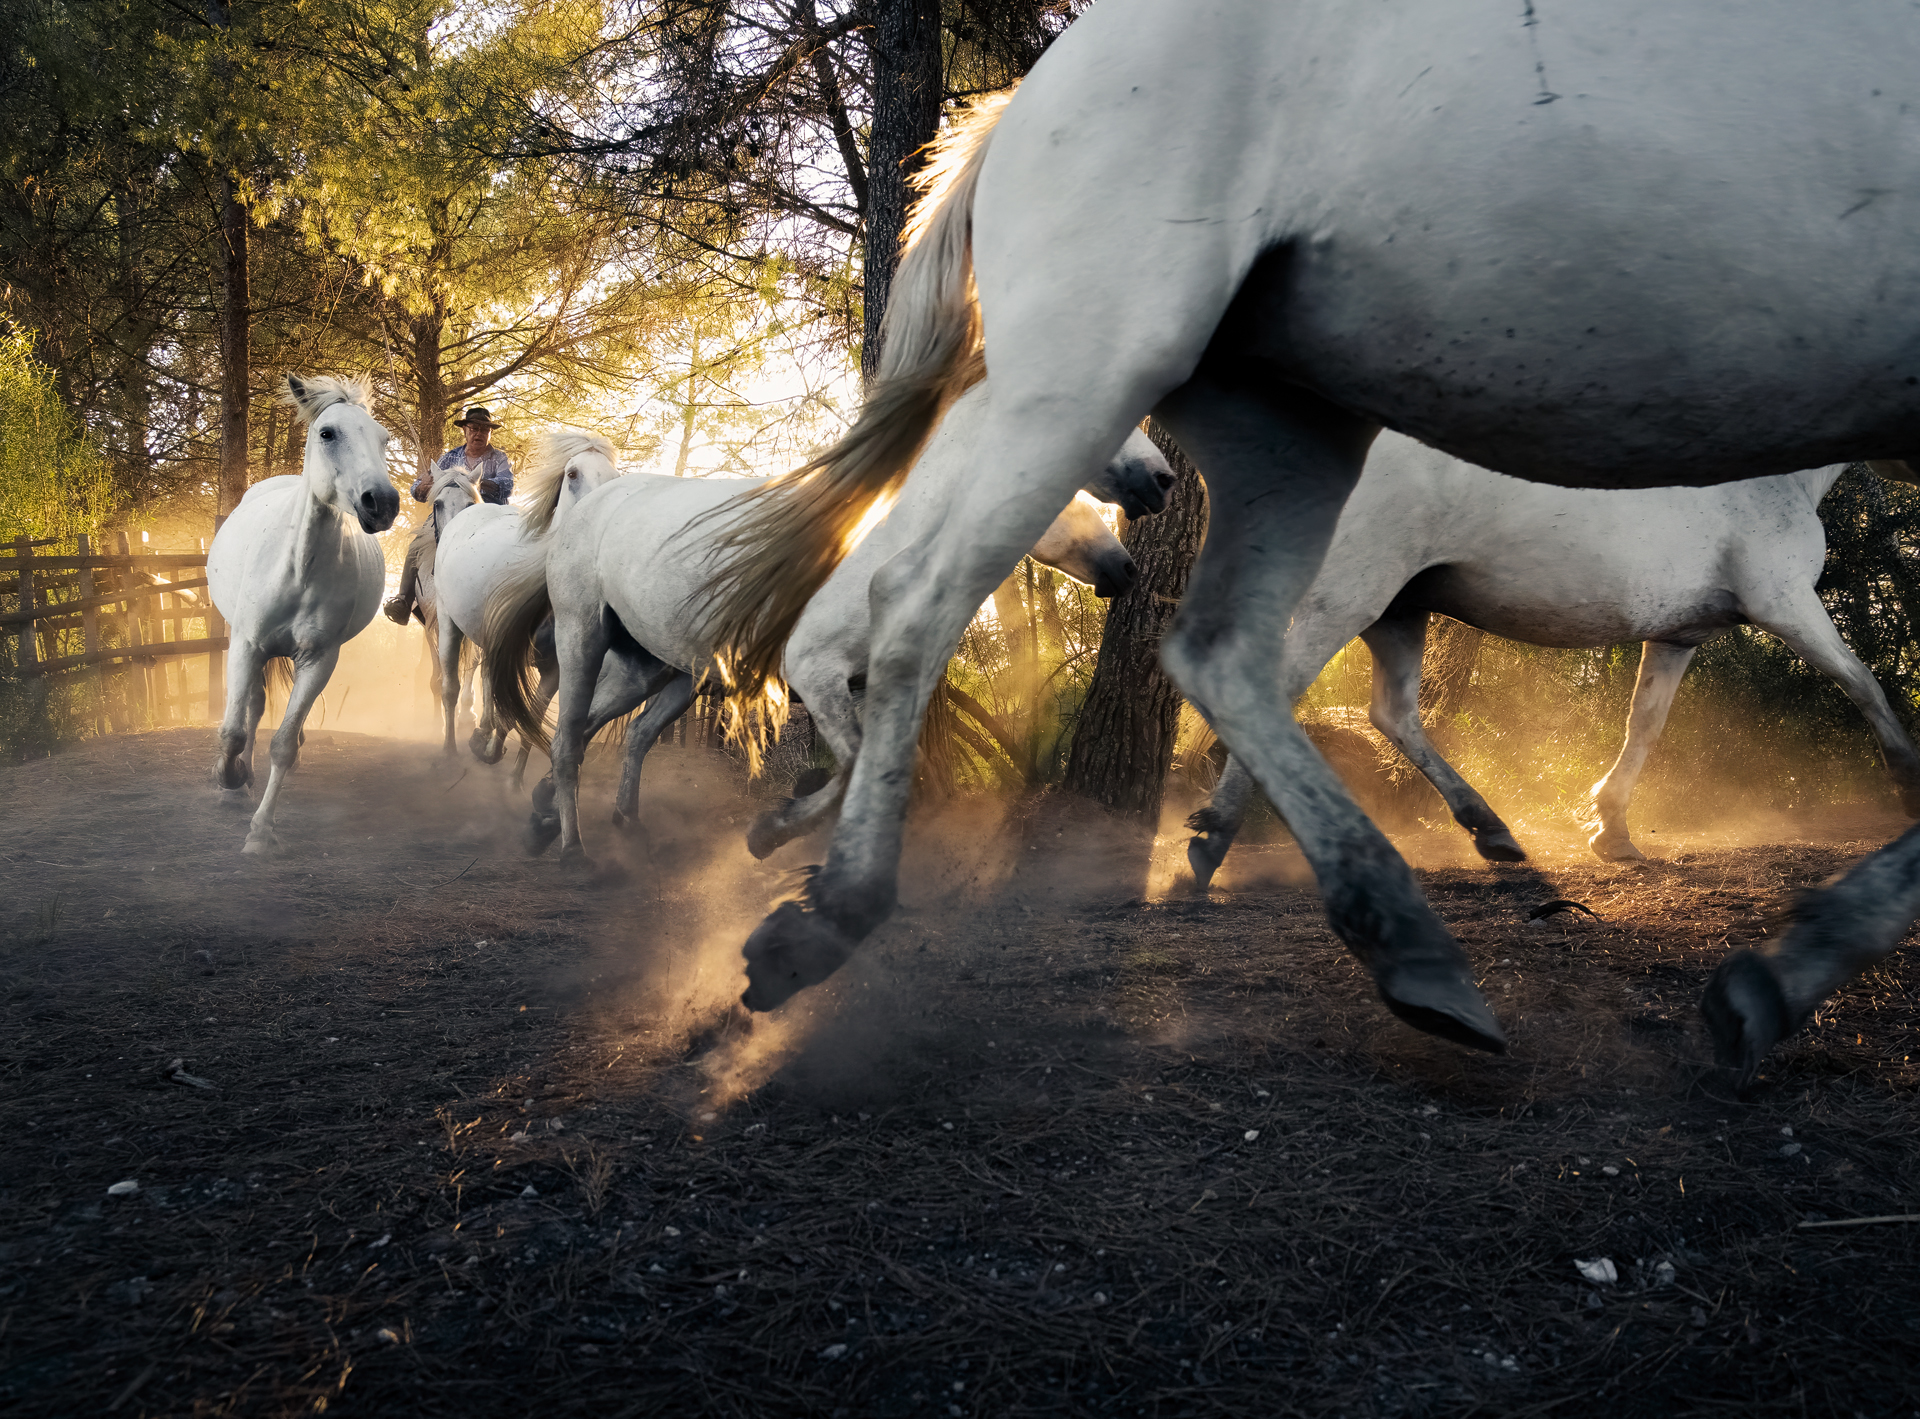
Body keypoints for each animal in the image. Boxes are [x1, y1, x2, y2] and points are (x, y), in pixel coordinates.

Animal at [207, 374, 399, 853]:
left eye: (384, 438)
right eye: (328, 433)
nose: (382, 502)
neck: (297, 569)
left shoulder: (318, 659)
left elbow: (283, 745)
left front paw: (261, 832)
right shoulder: (246, 645)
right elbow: (233, 731)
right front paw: (228, 777)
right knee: (251, 709)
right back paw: (239, 778)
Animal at [432, 429, 625, 781]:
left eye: (615, 477)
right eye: (572, 474)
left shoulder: (554, 669)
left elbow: (529, 719)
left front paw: (514, 780)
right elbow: (509, 710)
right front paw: (487, 750)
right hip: (448, 620)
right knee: (451, 687)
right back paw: (450, 750)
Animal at [485, 382, 1157, 869]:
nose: (1160, 480)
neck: (889, 545)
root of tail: (595, 499)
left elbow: (885, 769)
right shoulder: (817, 675)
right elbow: (856, 766)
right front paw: (769, 833)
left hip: (661, 671)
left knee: (615, 733)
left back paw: (582, 820)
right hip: (584, 639)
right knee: (570, 737)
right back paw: (571, 847)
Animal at [1185, 440, 1920, 886]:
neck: (1771, 482)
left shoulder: (1676, 638)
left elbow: (1643, 727)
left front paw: (1612, 829)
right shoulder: (1787, 602)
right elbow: (1864, 684)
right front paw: (1908, 780)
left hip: (1397, 610)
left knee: (1394, 714)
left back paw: (1492, 831)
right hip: (1350, 595)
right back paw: (1213, 837)